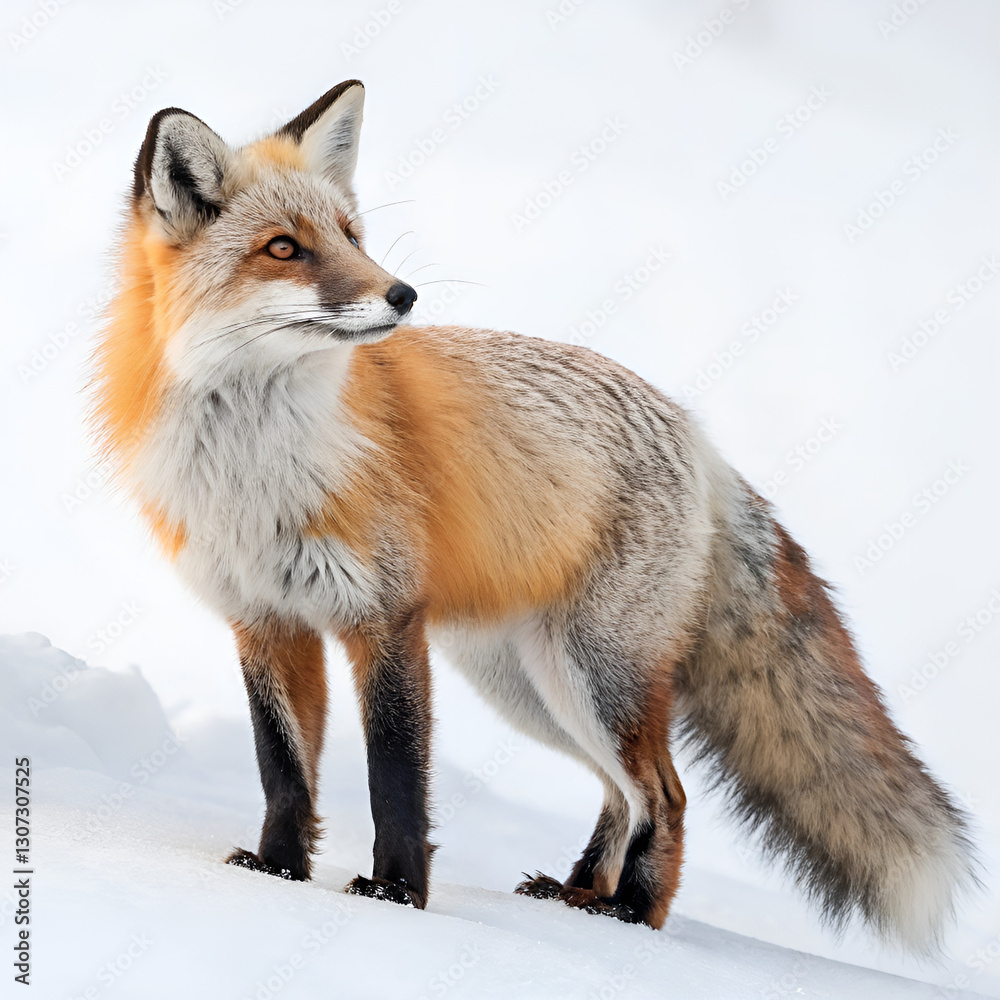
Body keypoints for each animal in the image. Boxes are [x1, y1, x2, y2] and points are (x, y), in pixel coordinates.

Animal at [91, 80, 975, 949]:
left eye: (350, 235)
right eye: (284, 248)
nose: (403, 294)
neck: (258, 465)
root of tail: (698, 436)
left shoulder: (385, 617)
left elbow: (395, 779)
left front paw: (395, 894)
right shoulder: (264, 621)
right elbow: (284, 773)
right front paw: (278, 873)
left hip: (591, 677)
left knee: (667, 794)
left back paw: (632, 916)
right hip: (529, 685)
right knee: (622, 794)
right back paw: (578, 893)